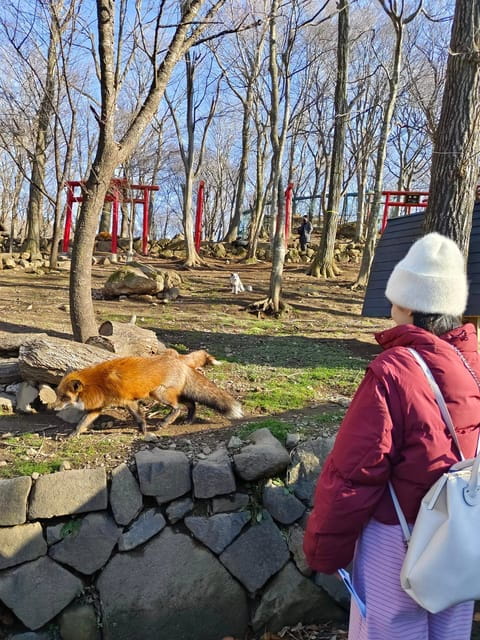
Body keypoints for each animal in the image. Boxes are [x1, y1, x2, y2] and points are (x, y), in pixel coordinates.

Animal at [54, 354, 243, 437]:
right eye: (58, 395)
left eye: (64, 398)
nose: (53, 408)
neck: (97, 383)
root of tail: (180, 360)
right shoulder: (98, 408)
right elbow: (81, 424)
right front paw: (71, 435)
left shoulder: (127, 400)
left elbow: (138, 417)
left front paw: (143, 430)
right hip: (172, 393)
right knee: (191, 404)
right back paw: (189, 420)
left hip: (159, 393)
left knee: (177, 408)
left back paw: (165, 422)